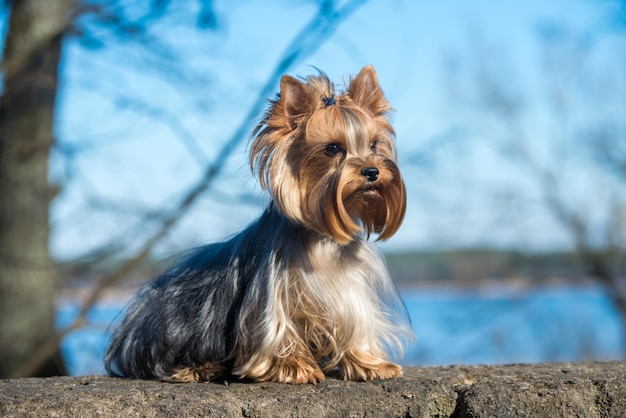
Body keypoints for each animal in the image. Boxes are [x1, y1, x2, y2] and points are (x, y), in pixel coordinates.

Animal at [105, 67, 412, 384]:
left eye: (373, 144)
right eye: (332, 149)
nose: (372, 171)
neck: (324, 237)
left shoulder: (351, 286)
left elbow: (358, 320)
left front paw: (370, 364)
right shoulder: (272, 292)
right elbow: (278, 327)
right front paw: (293, 366)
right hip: (176, 326)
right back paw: (201, 368)